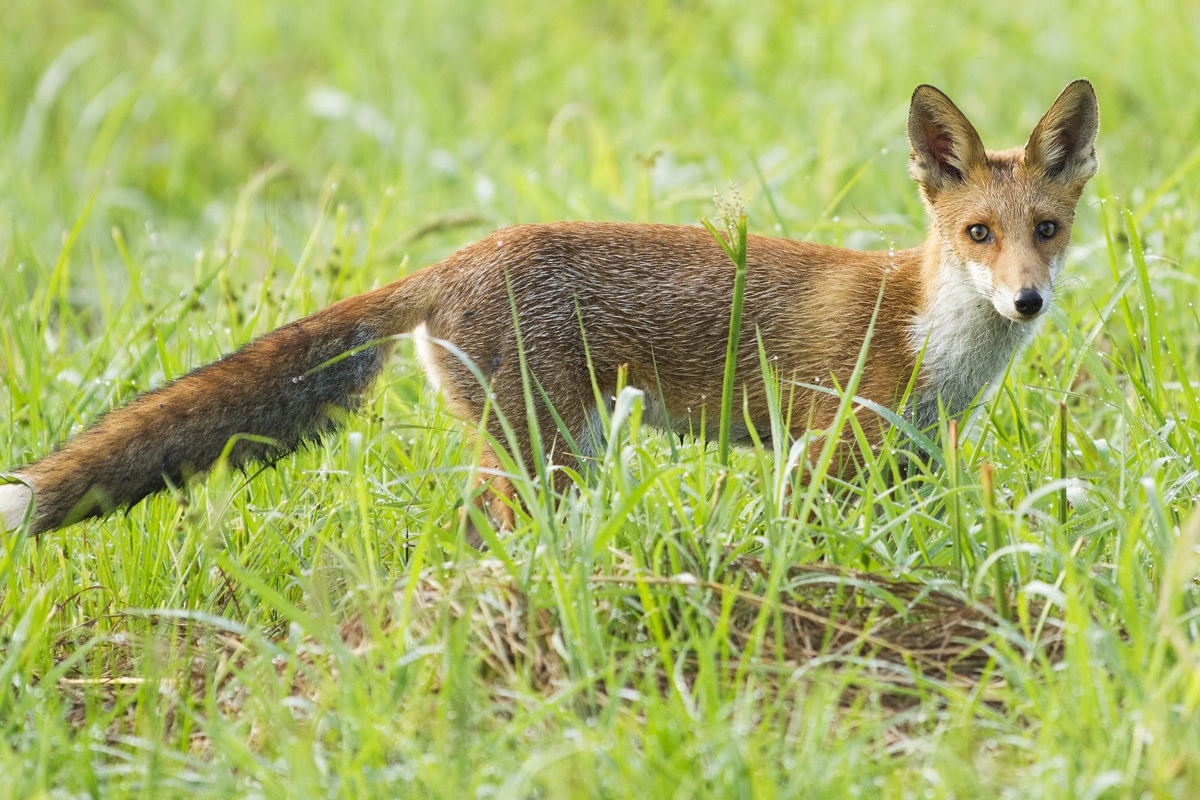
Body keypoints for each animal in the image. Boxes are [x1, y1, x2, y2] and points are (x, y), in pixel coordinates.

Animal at [0, 81, 1099, 540]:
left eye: (1044, 229)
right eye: (977, 234)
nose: (1027, 299)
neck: (933, 334)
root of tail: (458, 255)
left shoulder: (907, 455)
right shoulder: (826, 446)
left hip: (558, 446)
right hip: (550, 449)